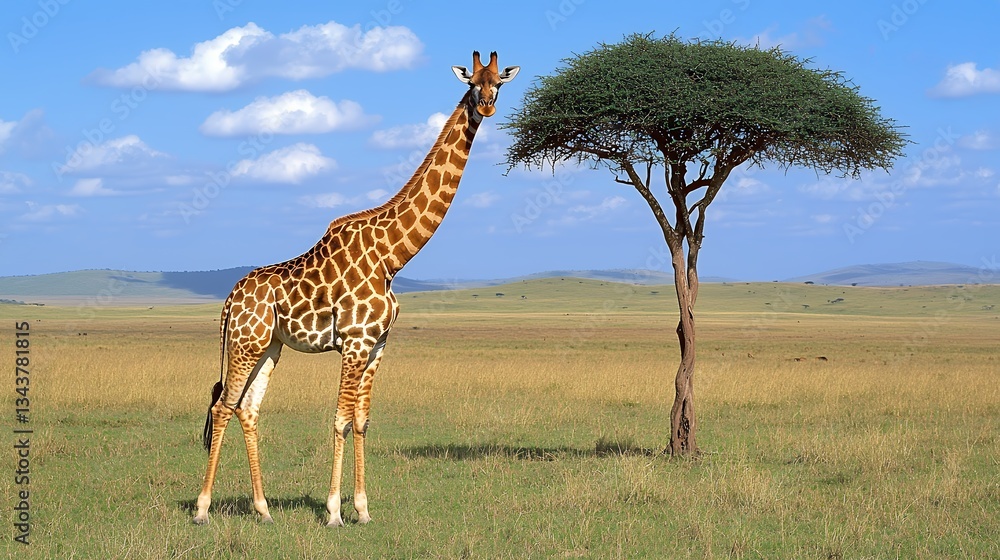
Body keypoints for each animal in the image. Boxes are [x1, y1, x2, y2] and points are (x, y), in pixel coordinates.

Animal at [192, 51, 519, 527]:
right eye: (473, 83)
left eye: (500, 82)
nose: (488, 106)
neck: (393, 257)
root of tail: (230, 300)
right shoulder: (354, 340)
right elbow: (340, 418)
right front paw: (333, 512)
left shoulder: (378, 343)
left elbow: (362, 419)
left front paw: (362, 509)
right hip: (244, 342)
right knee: (222, 406)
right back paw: (201, 509)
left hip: (269, 346)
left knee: (246, 409)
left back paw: (264, 509)